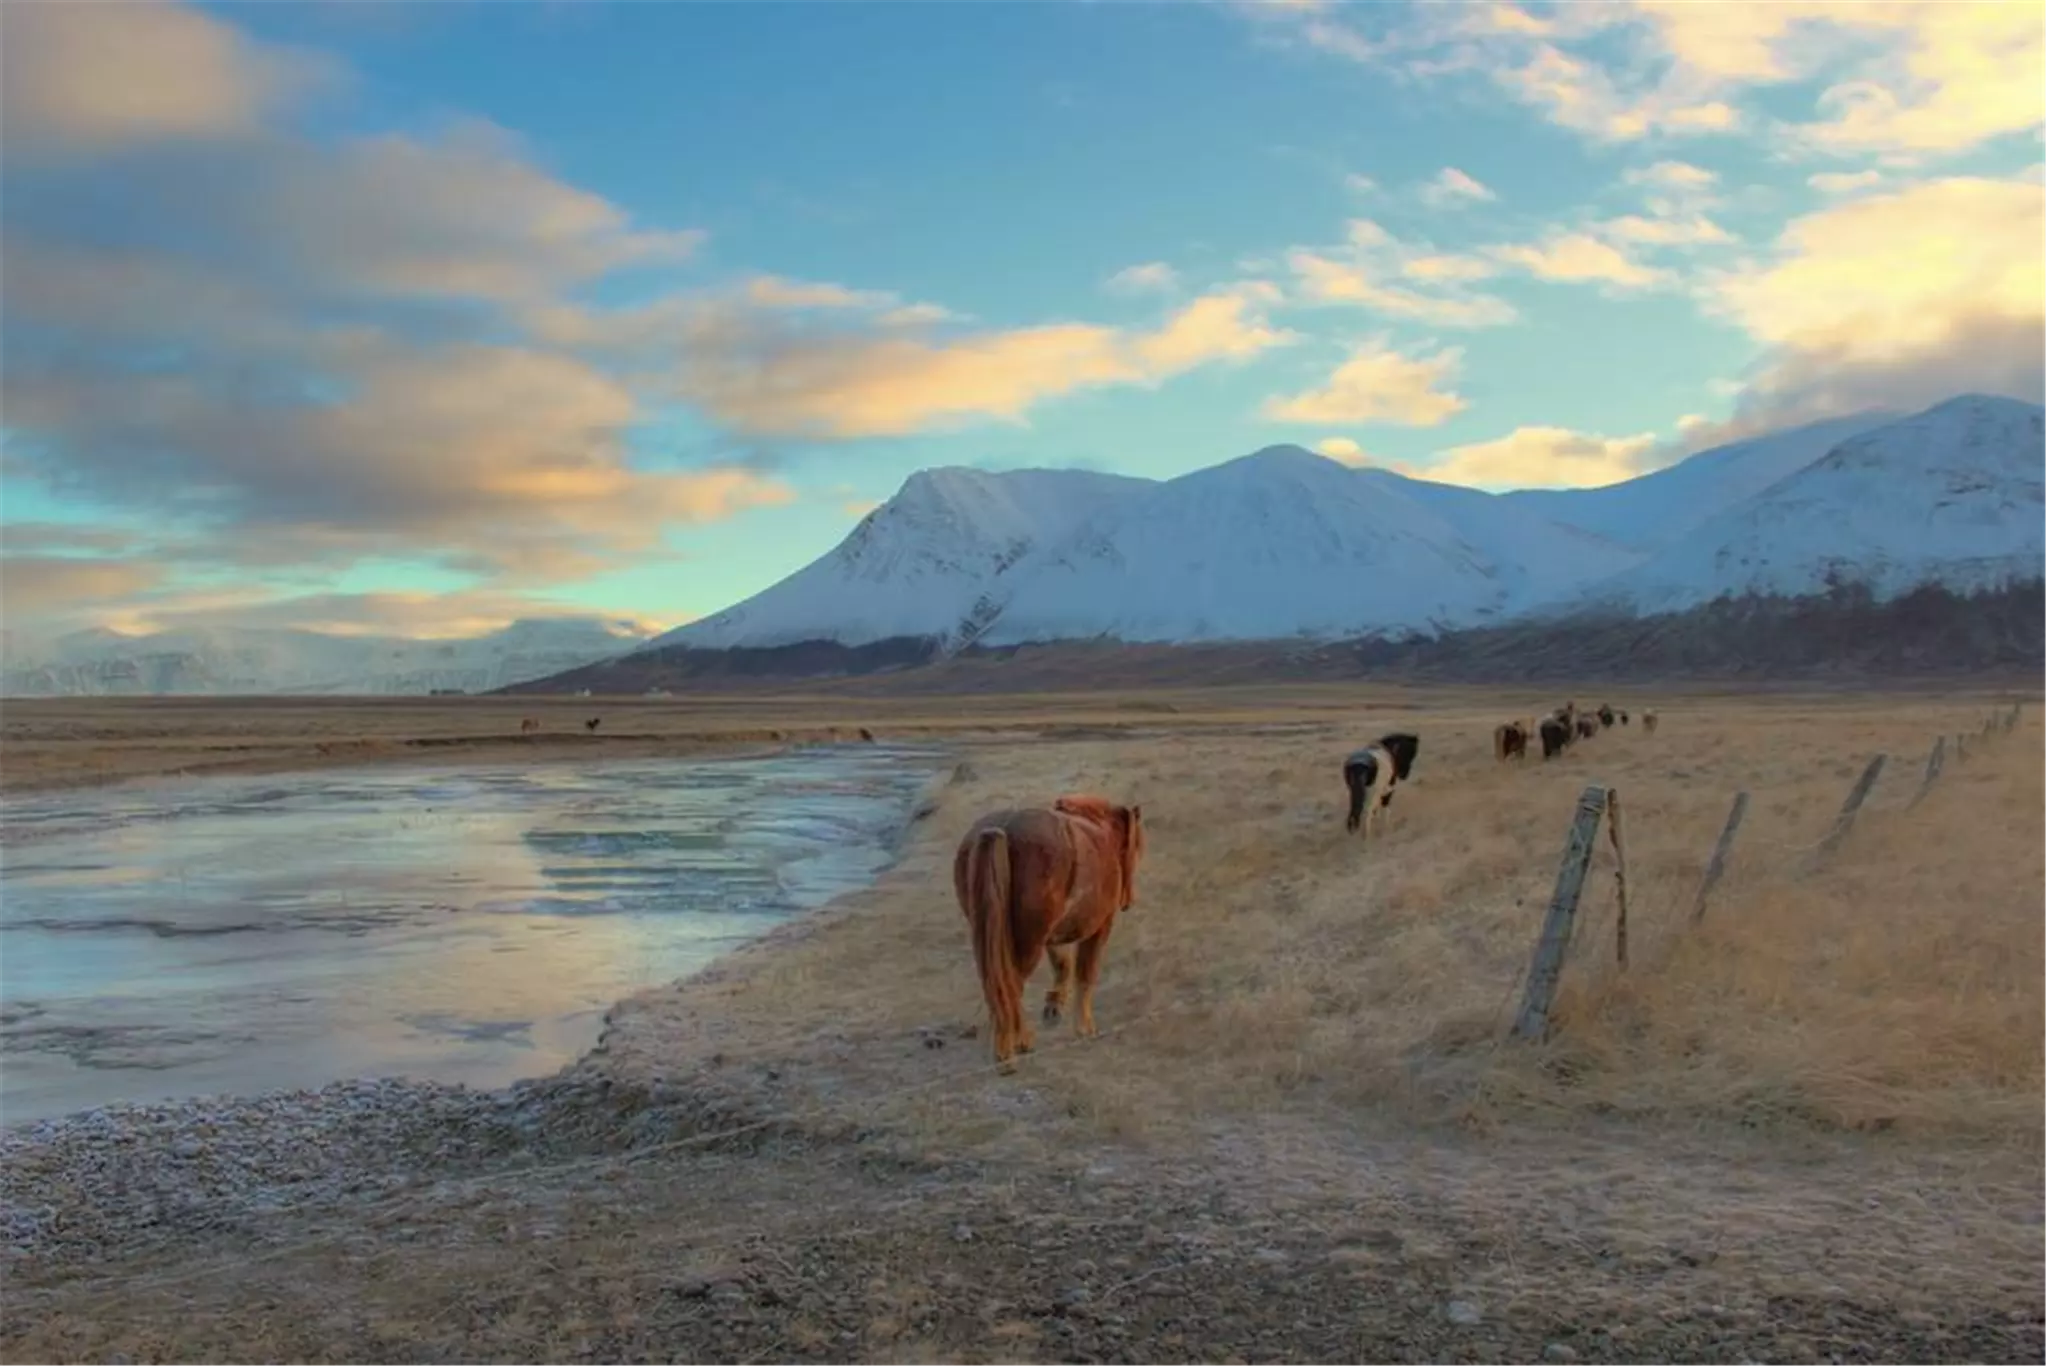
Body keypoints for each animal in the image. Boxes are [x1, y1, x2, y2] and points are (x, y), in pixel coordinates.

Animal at [949, 793, 1145, 1071]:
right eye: (1137, 848)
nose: (1129, 901)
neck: (1099, 833)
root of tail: (1000, 830)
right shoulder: (1100, 927)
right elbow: (1086, 974)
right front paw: (1085, 1029)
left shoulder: (1051, 935)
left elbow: (1062, 964)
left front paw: (1054, 1007)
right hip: (1027, 942)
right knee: (1011, 986)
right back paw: (1015, 1045)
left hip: (994, 934)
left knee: (998, 985)